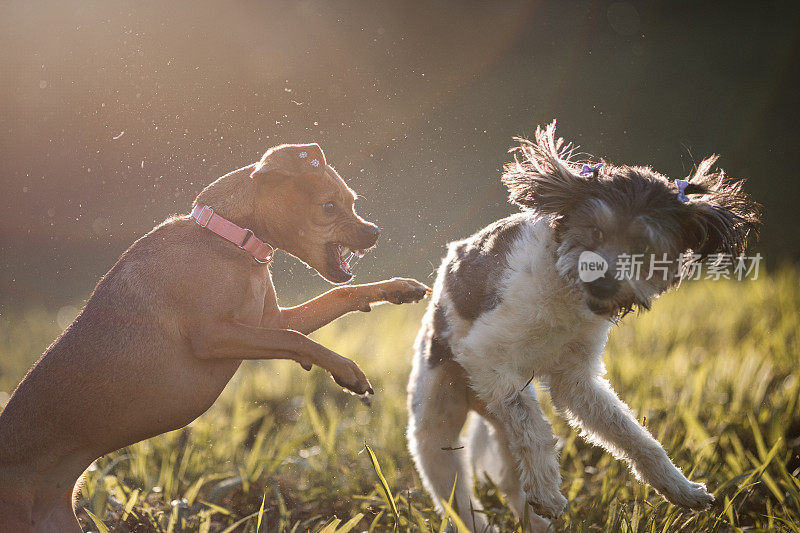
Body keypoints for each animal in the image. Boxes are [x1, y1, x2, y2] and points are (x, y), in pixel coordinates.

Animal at [0, 142, 432, 532]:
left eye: (352, 202)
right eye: (329, 207)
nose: (374, 232)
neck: (232, 239)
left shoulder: (269, 323)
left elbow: (338, 296)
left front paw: (399, 289)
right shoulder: (216, 336)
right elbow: (298, 339)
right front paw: (345, 369)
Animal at [410, 122, 760, 528]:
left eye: (644, 248)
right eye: (595, 232)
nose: (603, 282)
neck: (566, 293)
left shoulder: (575, 378)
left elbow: (633, 435)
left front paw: (679, 488)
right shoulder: (485, 354)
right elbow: (531, 424)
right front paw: (548, 491)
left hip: (491, 418)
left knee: (512, 482)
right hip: (437, 417)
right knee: (457, 495)